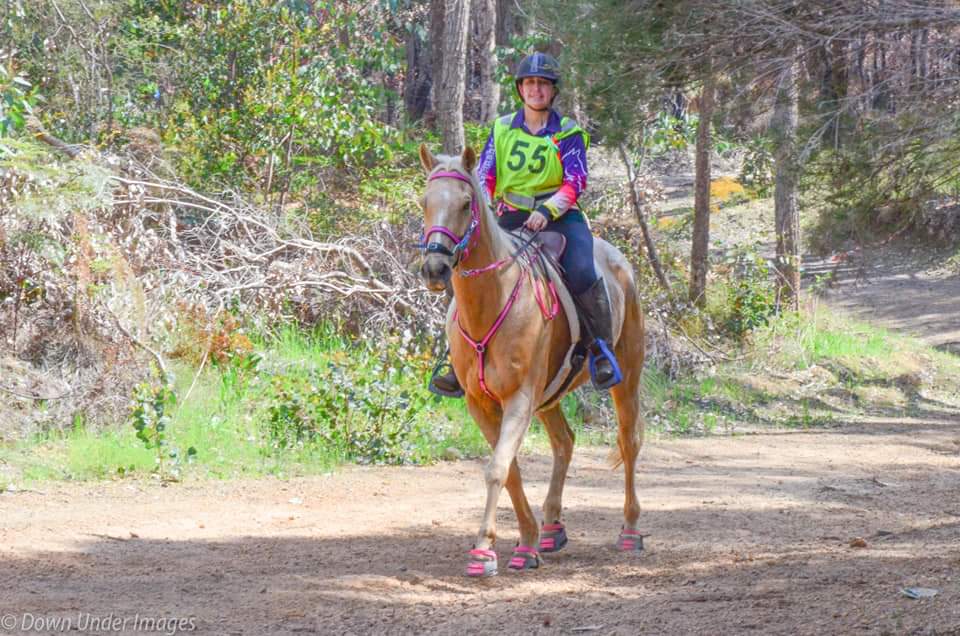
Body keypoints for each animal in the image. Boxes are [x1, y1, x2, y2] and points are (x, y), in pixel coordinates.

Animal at [418, 143, 644, 576]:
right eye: (425, 201)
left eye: (466, 203)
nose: (435, 267)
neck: (491, 301)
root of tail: (619, 259)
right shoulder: (481, 404)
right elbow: (510, 471)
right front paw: (527, 541)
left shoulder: (519, 398)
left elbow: (498, 468)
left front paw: (485, 550)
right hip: (549, 394)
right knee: (565, 442)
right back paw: (553, 527)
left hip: (626, 376)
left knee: (629, 442)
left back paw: (630, 530)